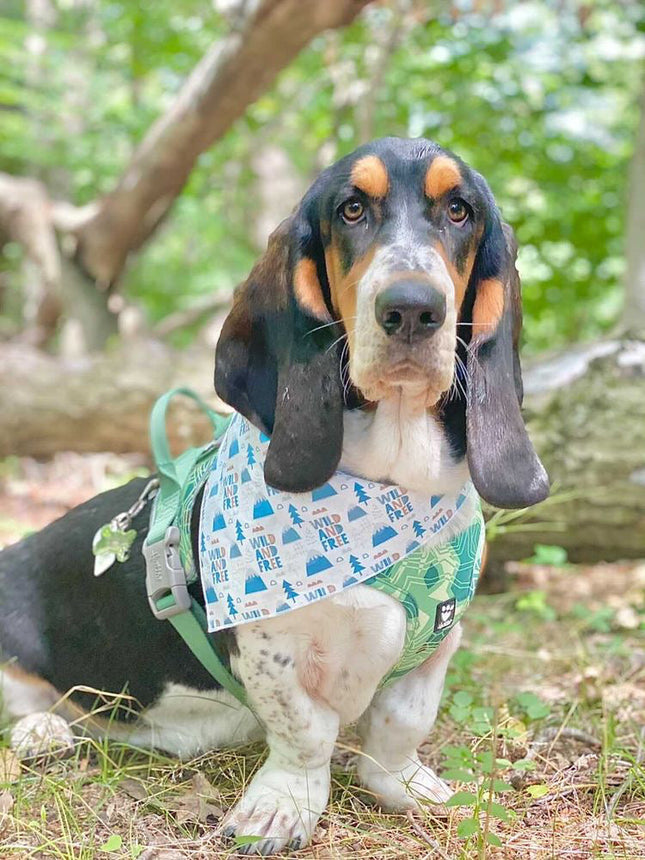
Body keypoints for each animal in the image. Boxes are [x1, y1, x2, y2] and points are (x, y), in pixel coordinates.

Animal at [0, 136, 544, 852]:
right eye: (350, 209)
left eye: (459, 210)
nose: (412, 309)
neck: (391, 487)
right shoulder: (271, 651)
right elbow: (304, 733)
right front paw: (282, 807)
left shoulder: (437, 646)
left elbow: (401, 724)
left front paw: (407, 786)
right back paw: (43, 729)